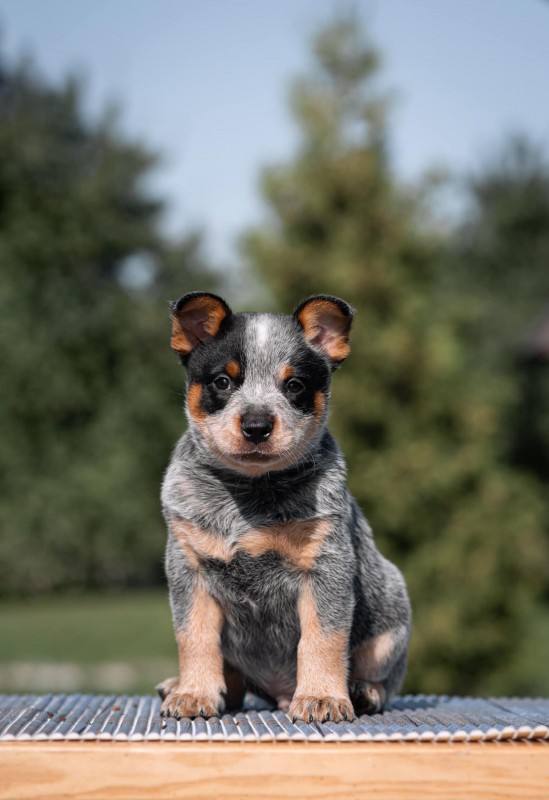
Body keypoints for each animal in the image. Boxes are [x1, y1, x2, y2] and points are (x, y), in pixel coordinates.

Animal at [157, 292, 411, 723]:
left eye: (294, 385)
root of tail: (277, 693)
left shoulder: (327, 564)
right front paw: (194, 692)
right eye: (223, 381)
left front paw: (323, 697)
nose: (257, 425)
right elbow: (194, 636)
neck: (250, 493)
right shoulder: (188, 565)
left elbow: (322, 637)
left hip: (391, 613)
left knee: (382, 676)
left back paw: (362, 692)